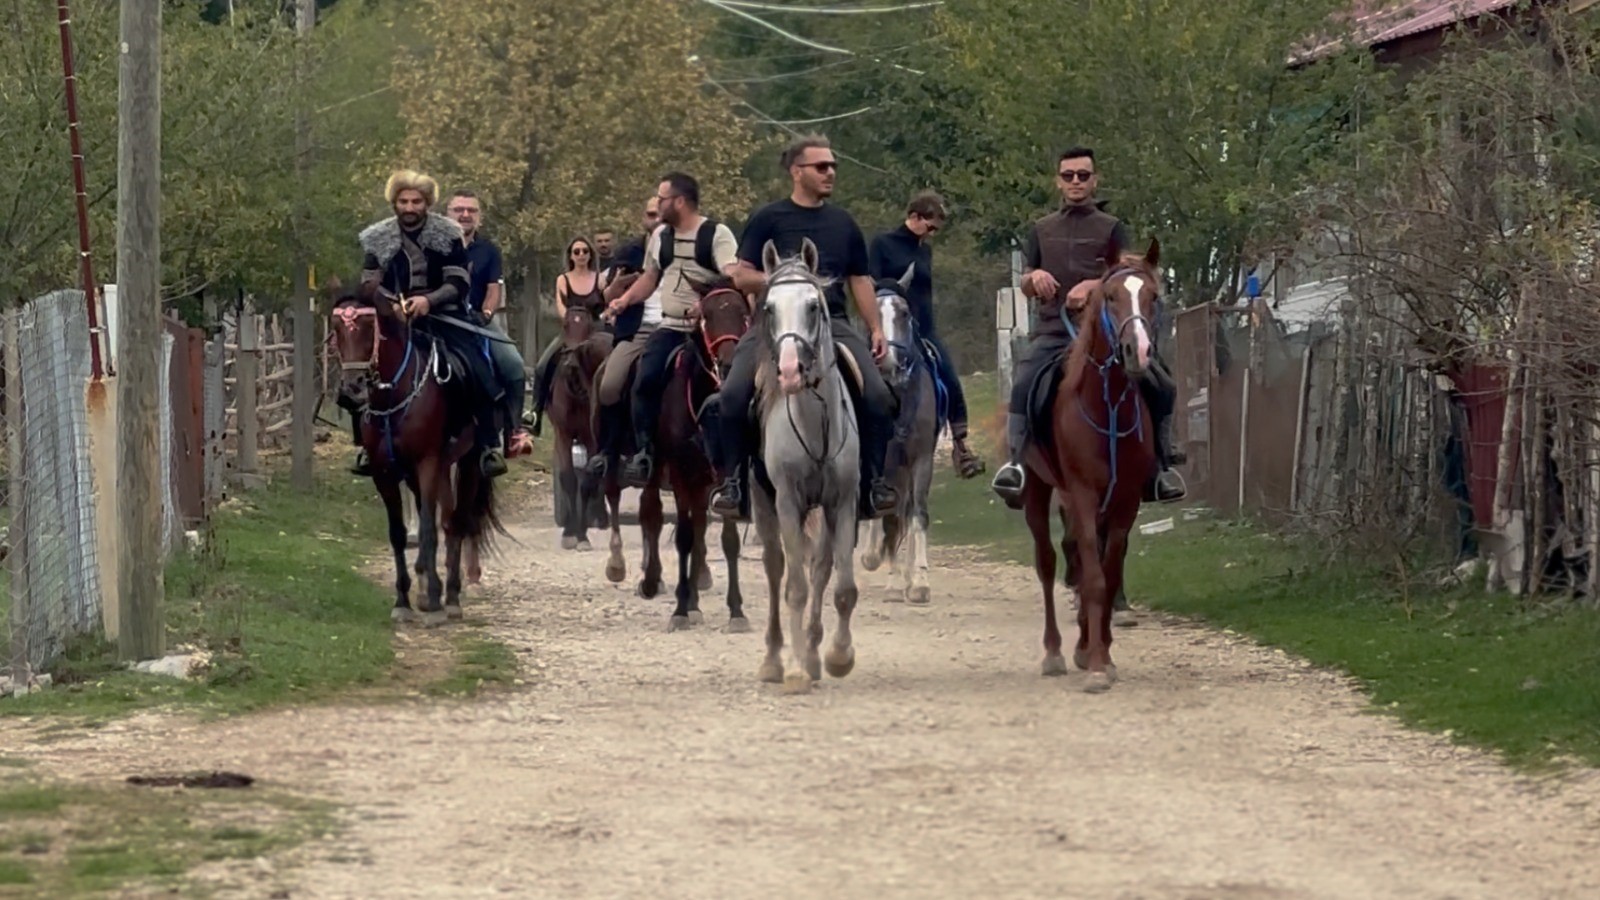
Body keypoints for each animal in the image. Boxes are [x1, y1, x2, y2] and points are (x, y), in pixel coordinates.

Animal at [336, 291, 505, 621]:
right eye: (337, 329)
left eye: (368, 327)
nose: (351, 391)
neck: (394, 395)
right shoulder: (384, 472)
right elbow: (398, 533)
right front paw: (403, 599)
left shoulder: (427, 463)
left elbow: (428, 527)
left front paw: (434, 596)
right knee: (447, 520)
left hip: (466, 463)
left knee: (457, 521)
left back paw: (451, 595)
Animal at [748, 238, 864, 695]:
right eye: (768, 308)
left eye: (814, 306)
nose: (790, 371)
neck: (817, 425)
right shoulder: (788, 502)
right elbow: (794, 588)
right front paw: (795, 669)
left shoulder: (843, 502)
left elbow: (842, 587)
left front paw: (836, 657)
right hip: (764, 504)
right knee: (777, 568)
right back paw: (774, 659)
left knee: (821, 568)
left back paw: (814, 652)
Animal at [1024, 240, 1164, 695]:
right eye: (1112, 297)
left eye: (1152, 297)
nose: (1138, 352)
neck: (1108, 406)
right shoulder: (1083, 497)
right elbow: (1094, 578)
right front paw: (1098, 664)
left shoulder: (1124, 502)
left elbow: (1108, 571)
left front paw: (1099, 652)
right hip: (1037, 492)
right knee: (1048, 562)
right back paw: (1053, 652)